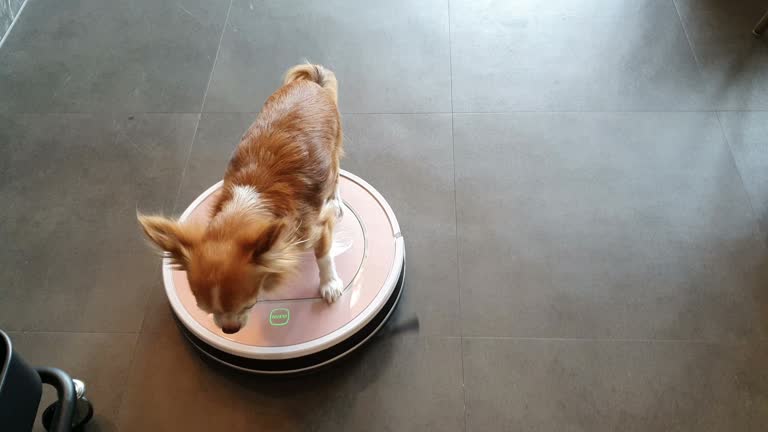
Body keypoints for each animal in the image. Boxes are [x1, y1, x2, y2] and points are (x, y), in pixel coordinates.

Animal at [138, 64, 342, 334]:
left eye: (247, 304)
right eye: (205, 310)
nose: (229, 330)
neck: (248, 204)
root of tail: (311, 83)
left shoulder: (318, 226)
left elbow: (324, 256)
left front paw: (330, 285)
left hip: (333, 149)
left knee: (336, 175)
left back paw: (337, 200)